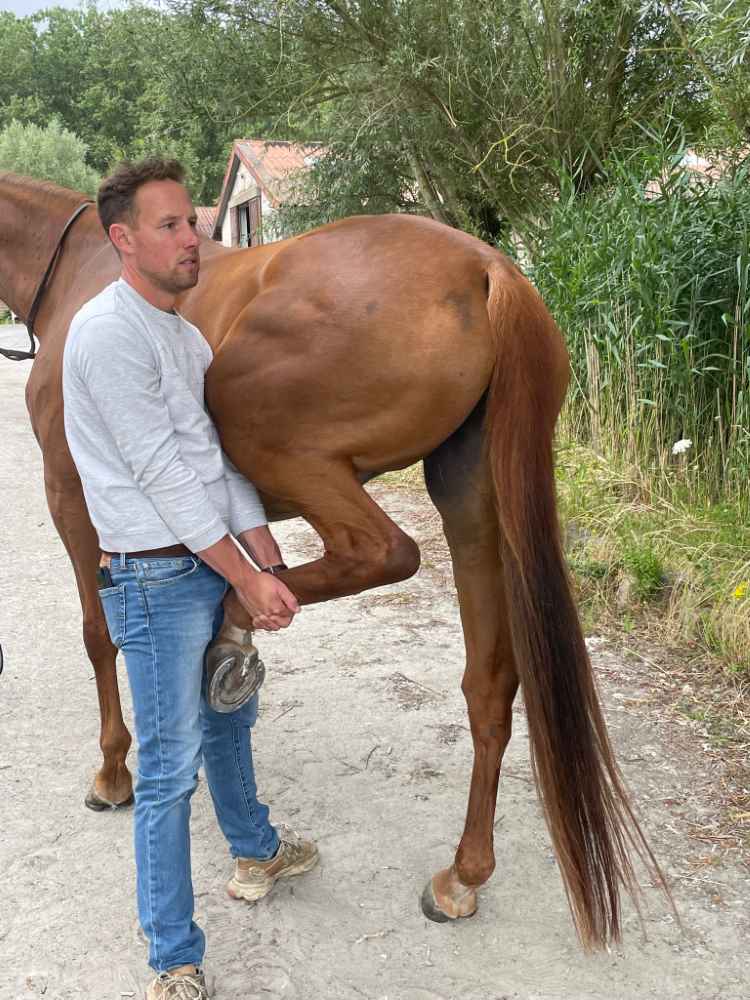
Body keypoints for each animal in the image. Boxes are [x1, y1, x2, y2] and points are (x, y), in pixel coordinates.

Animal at [0, 172, 670, 950]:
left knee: (382, 552)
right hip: (471, 498)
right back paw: (462, 874)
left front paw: (113, 772)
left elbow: (99, 636)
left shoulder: (74, 499)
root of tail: (486, 268)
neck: (88, 272)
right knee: (488, 683)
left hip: (272, 438)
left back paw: (237, 622)